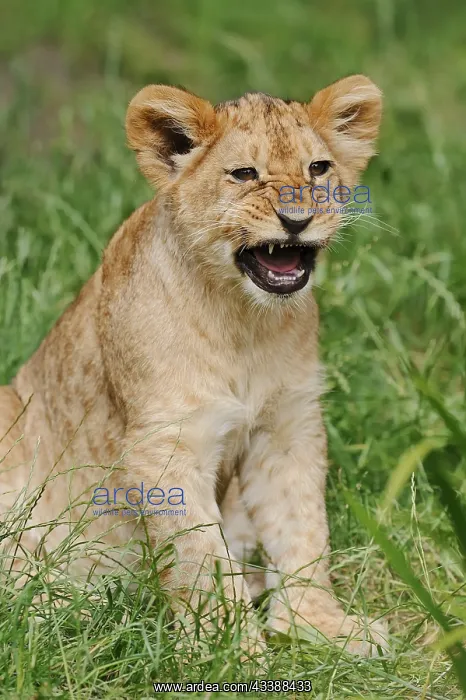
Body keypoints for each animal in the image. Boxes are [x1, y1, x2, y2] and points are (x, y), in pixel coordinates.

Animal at [0, 75, 386, 655]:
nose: (297, 222)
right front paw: (233, 654)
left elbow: (302, 528)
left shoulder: (287, 425)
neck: (243, 323)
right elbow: (202, 561)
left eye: (318, 168)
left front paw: (318, 627)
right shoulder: (165, 446)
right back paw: (71, 611)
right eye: (245, 174)